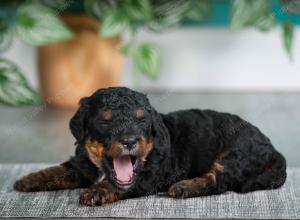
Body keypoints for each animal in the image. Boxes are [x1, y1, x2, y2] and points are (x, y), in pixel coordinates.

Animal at [14, 87, 286, 205]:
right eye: (104, 119)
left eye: (141, 118)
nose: (129, 141)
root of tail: (272, 149)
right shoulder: (81, 164)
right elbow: (58, 170)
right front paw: (28, 179)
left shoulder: (152, 175)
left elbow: (122, 185)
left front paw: (97, 191)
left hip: (236, 154)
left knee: (219, 181)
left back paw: (185, 187)